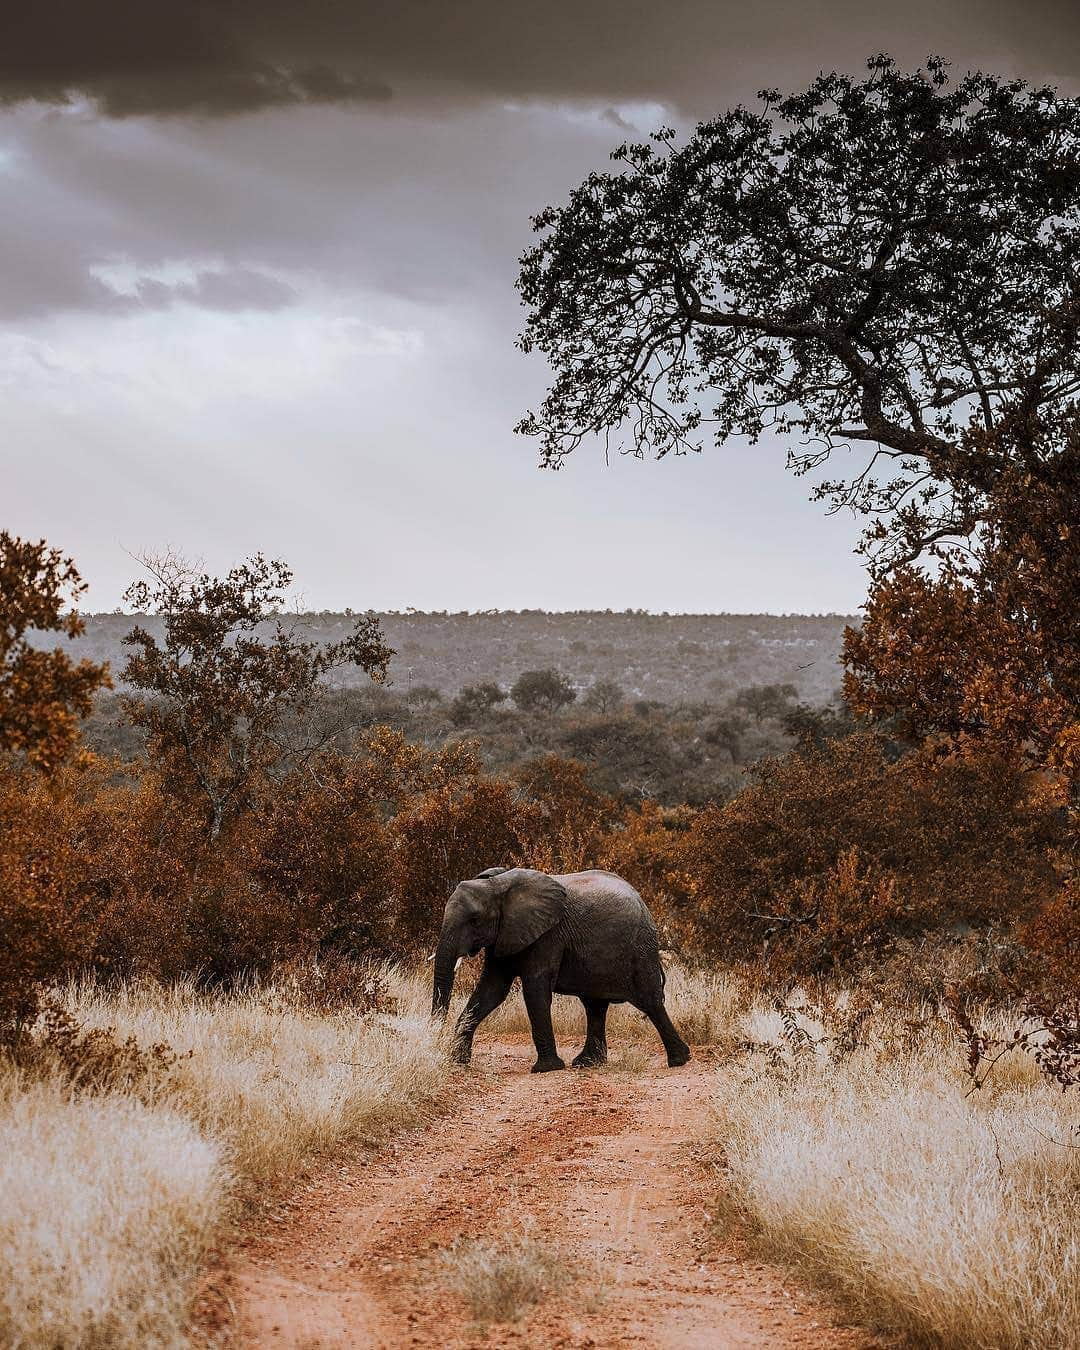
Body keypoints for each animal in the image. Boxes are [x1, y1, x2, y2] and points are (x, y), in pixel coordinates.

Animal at [432, 864, 691, 1074]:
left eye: (475, 920)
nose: (436, 1044)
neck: (497, 884)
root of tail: (642, 901)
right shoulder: (504, 934)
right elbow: (491, 990)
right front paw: (459, 1060)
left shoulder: (547, 935)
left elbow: (535, 989)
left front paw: (546, 1069)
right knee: (595, 1006)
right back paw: (588, 1063)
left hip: (639, 949)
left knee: (650, 1002)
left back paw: (680, 1060)